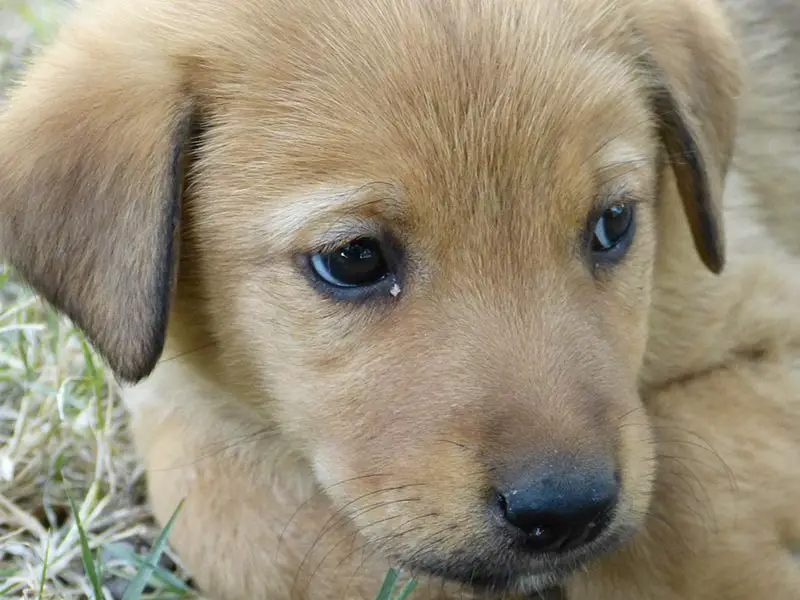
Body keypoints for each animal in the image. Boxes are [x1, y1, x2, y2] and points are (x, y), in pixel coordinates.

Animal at [0, 0, 792, 596]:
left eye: (614, 224)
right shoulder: (175, 405)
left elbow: (680, 506)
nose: (566, 511)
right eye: (353, 260)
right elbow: (242, 525)